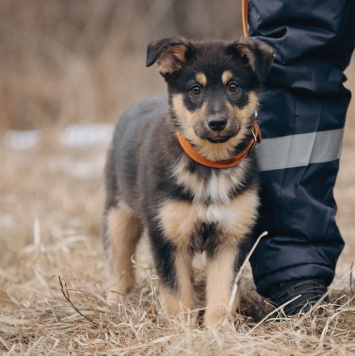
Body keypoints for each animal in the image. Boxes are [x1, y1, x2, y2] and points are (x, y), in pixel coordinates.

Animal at [101, 36, 274, 326]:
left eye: (234, 87)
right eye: (195, 89)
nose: (217, 123)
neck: (210, 164)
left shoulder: (231, 238)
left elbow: (223, 295)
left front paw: (218, 331)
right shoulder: (167, 237)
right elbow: (176, 295)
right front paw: (182, 330)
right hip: (118, 213)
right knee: (120, 262)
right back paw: (115, 302)